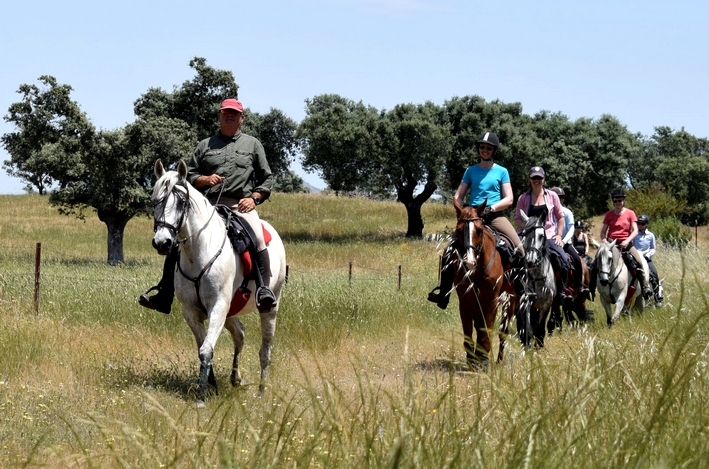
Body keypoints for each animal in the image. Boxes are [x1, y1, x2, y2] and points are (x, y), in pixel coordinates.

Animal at [151, 159, 286, 404]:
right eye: (154, 200)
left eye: (181, 202)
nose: (162, 242)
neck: (198, 252)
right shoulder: (191, 311)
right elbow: (203, 348)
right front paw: (211, 386)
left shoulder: (218, 306)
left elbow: (206, 349)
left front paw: (201, 396)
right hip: (231, 312)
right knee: (240, 335)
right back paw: (235, 379)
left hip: (269, 307)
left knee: (265, 350)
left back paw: (261, 391)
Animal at [450, 197, 506, 370]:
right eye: (459, 230)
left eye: (480, 230)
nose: (469, 263)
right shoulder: (466, 303)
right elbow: (469, 334)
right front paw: (471, 360)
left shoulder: (492, 303)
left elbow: (486, 334)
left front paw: (484, 361)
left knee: (503, 332)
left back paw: (498, 361)